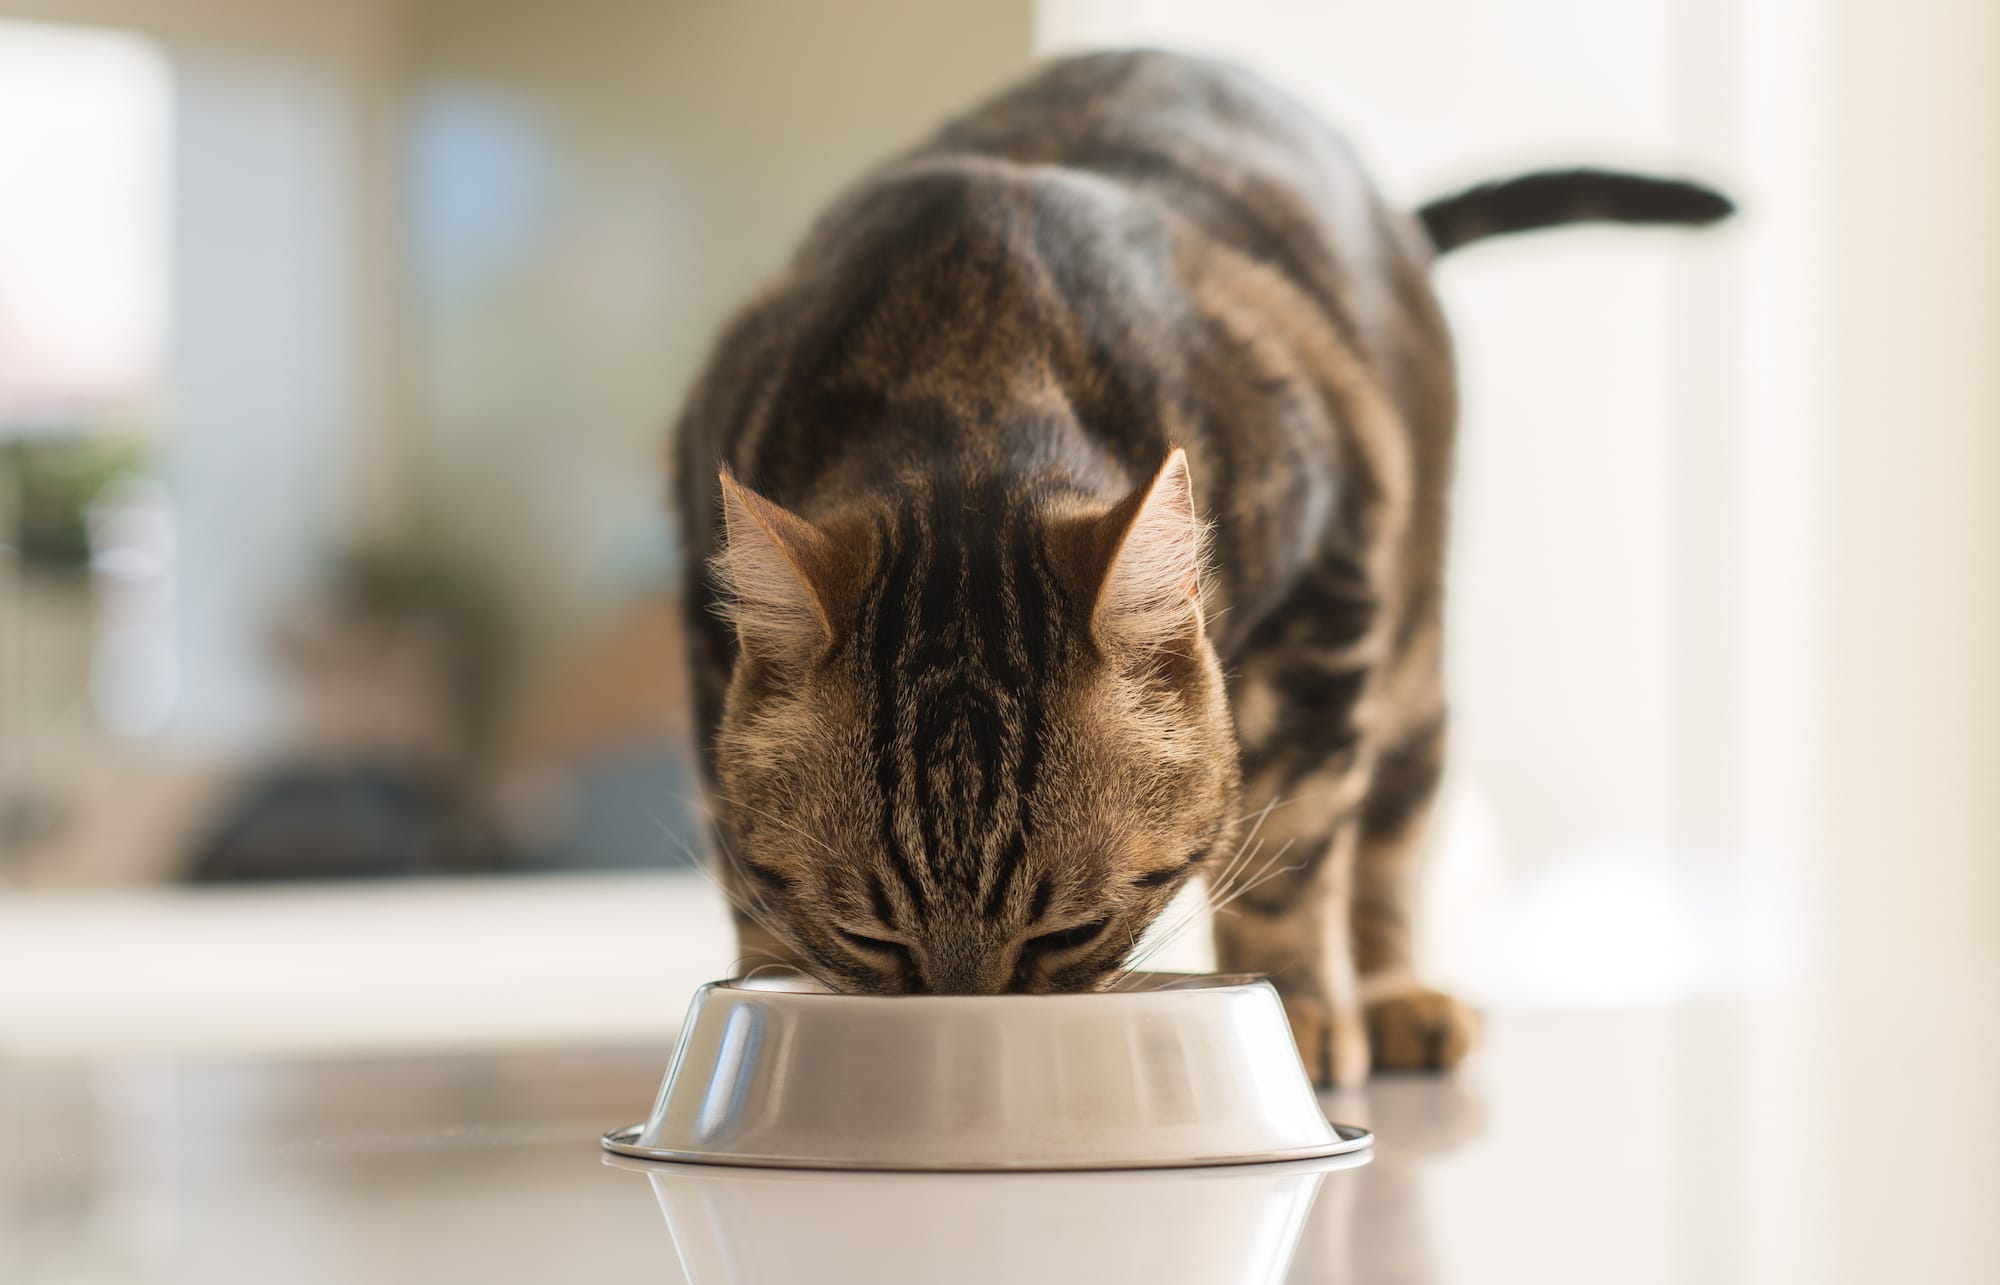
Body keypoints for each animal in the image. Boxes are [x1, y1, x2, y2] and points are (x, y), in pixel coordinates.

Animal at [676, 50, 1736, 1080]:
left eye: (1068, 933)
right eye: (873, 937)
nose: (967, 1032)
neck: (971, 359)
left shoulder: (1329, 594)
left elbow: (1295, 843)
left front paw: (1299, 1010)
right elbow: (744, 867)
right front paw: (763, 983)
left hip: (1411, 666)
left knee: (1390, 840)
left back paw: (1394, 996)